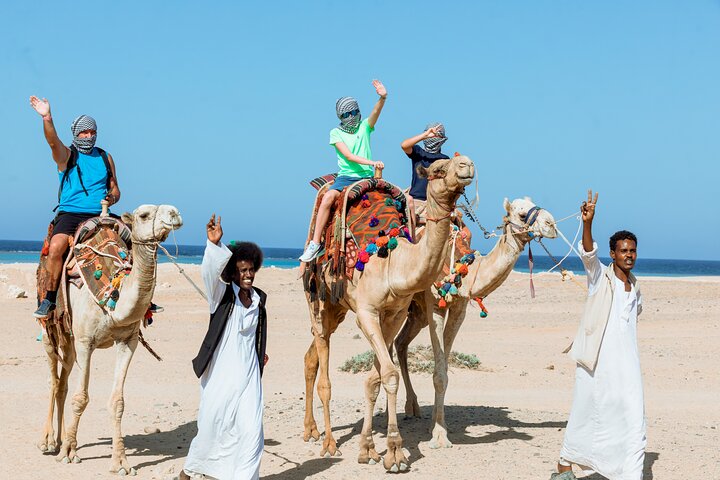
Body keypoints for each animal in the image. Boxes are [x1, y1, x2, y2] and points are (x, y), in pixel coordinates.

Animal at [38, 204, 182, 475]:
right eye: (144, 215)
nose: (174, 213)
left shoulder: (128, 341)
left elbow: (117, 402)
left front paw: (121, 462)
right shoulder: (86, 341)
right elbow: (81, 398)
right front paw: (70, 453)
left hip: (69, 339)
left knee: (63, 381)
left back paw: (60, 439)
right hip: (51, 330)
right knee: (53, 379)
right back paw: (49, 441)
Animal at [302, 155, 475, 472]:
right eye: (438, 169)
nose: (466, 164)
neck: (393, 262)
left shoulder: (394, 313)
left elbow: (377, 377)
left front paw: (370, 448)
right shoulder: (367, 313)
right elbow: (389, 374)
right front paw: (394, 452)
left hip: (338, 308)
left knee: (311, 357)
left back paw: (310, 430)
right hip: (317, 297)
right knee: (323, 365)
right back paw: (329, 442)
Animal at [394, 197, 557, 448]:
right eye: (521, 215)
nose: (552, 225)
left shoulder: (459, 308)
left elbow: (444, 369)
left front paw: (437, 425)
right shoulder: (435, 303)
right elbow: (439, 375)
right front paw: (439, 437)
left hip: (416, 313)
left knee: (400, 343)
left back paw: (412, 406)